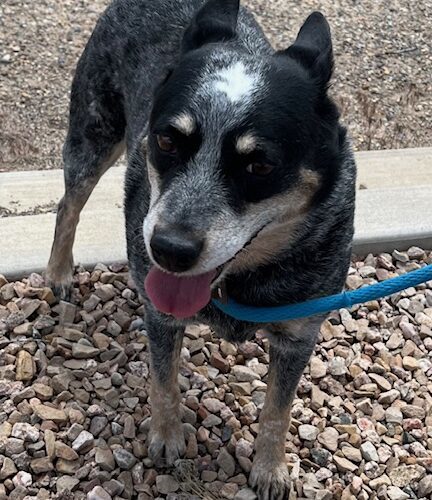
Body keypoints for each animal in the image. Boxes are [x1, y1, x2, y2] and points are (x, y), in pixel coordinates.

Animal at [47, 1, 356, 498]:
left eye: (260, 165)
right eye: (166, 140)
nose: (169, 249)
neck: (240, 281)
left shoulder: (298, 333)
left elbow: (278, 410)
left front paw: (270, 469)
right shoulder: (161, 314)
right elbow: (164, 382)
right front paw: (166, 438)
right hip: (94, 131)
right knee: (68, 204)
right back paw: (58, 273)